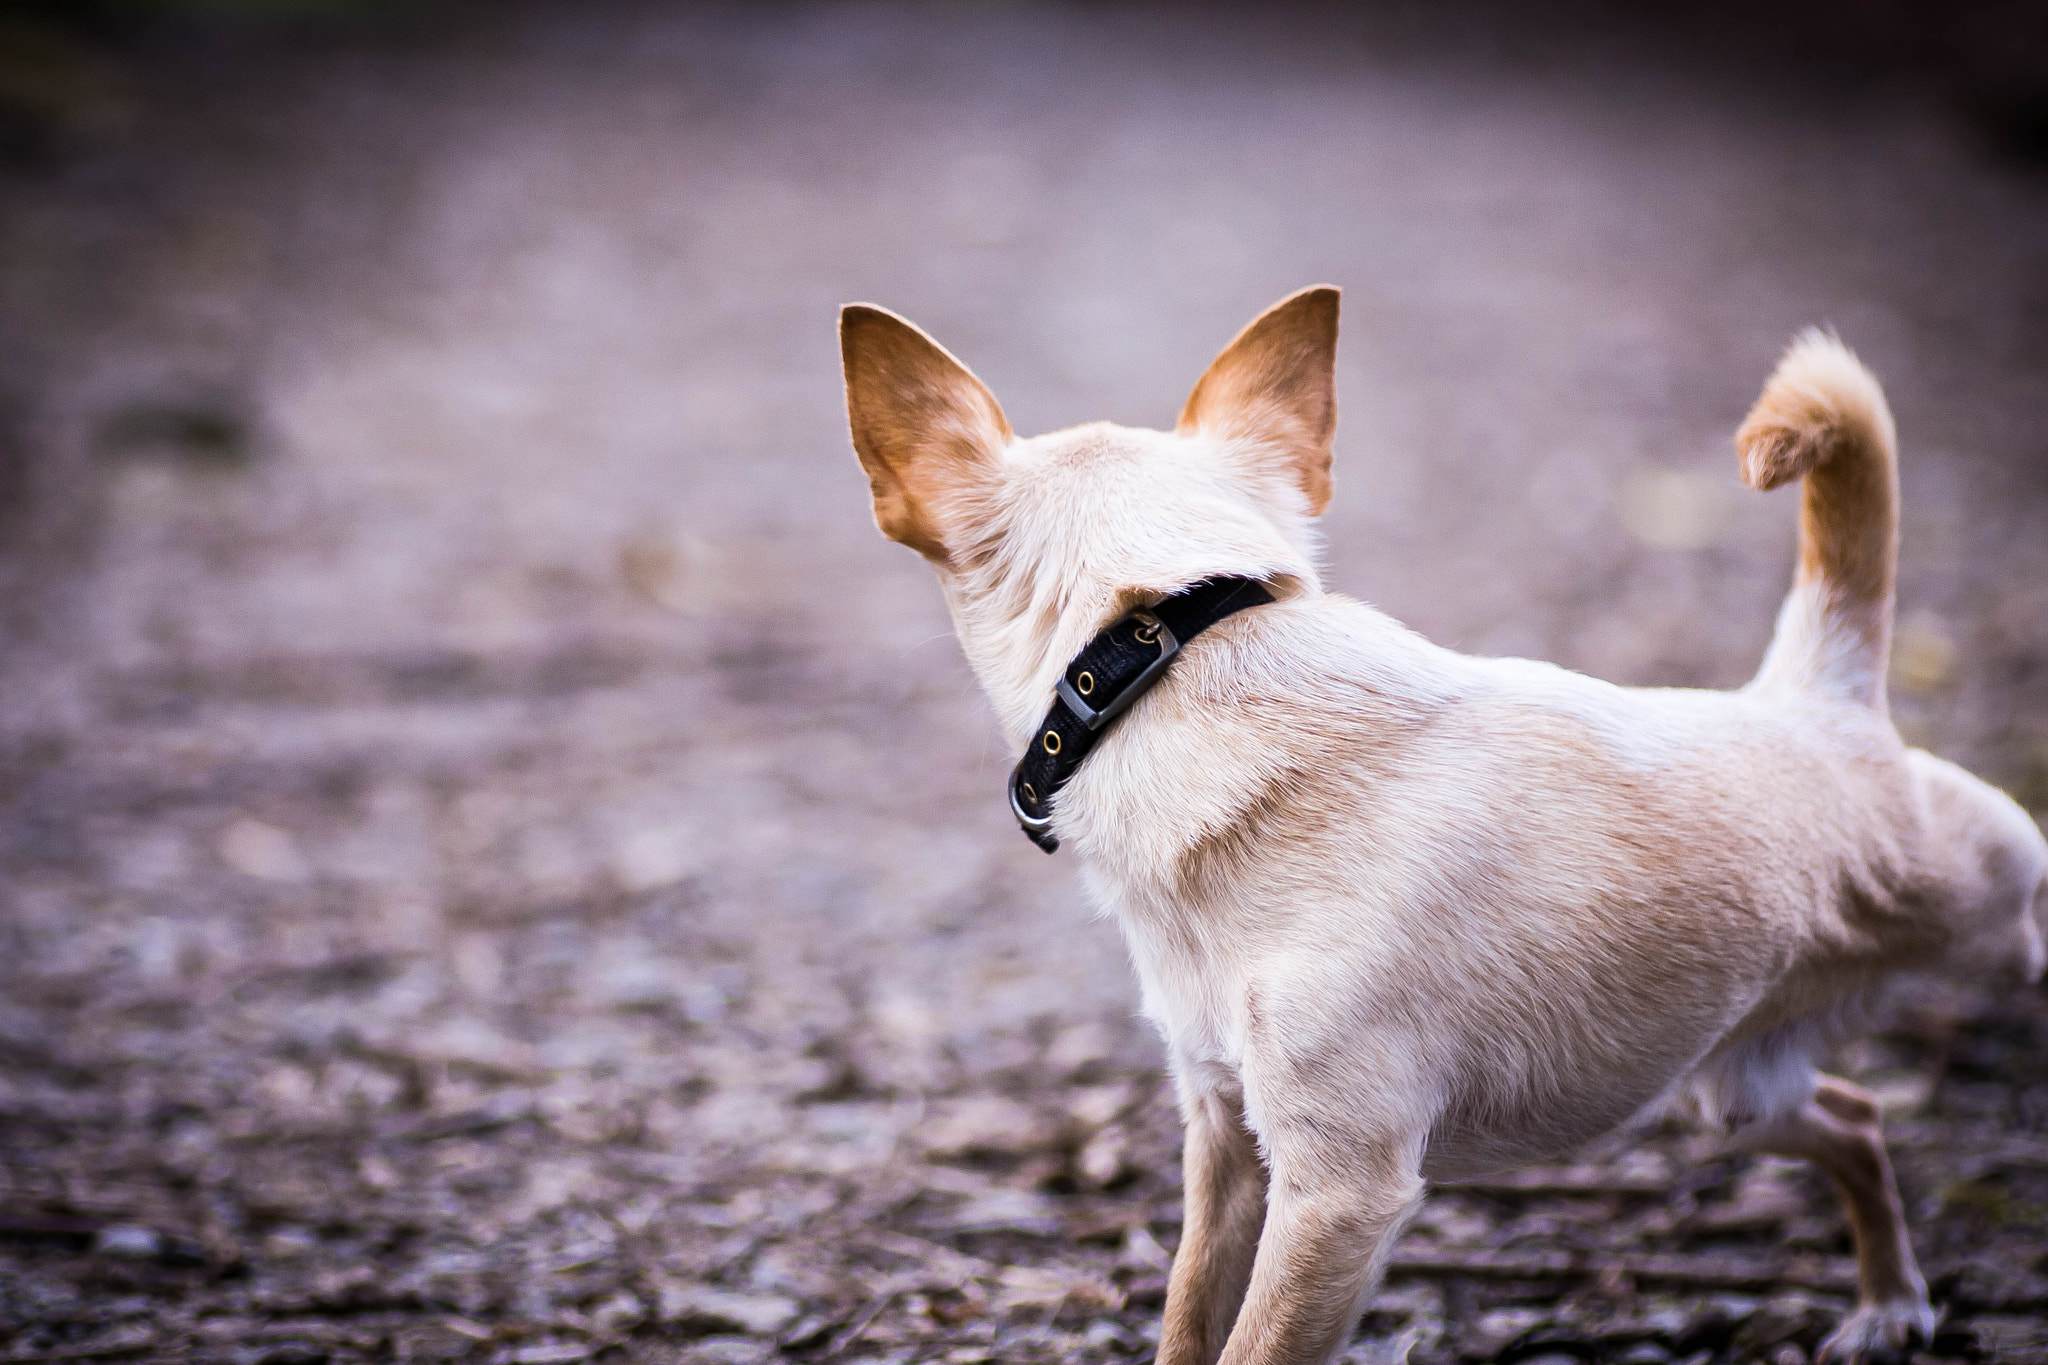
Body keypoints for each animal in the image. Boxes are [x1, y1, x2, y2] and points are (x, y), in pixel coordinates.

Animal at [835, 286, 2048, 1365]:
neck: (1162, 649)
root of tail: (1814, 693)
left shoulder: (1338, 1195)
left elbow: (1253, 1346)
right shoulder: (1227, 1144)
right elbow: (1187, 1319)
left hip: (1983, 903)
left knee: (2009, 924)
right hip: (1730, 1091)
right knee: (1855, 1117)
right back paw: (1890, 1305)